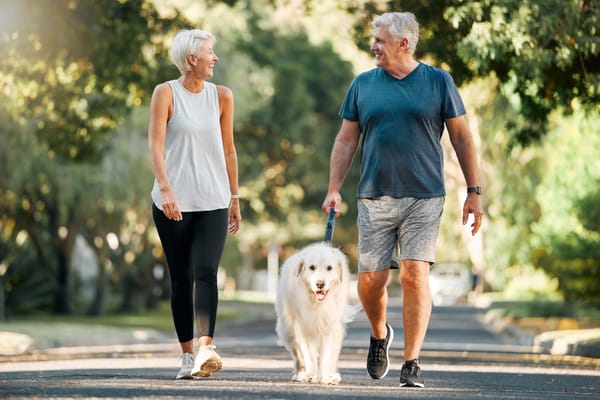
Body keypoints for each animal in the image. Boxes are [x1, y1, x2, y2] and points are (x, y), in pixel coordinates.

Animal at [276, 241, 356, 384]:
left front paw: (326, 377)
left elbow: (326, 355)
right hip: (287, 331)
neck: (317, 303)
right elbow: (308, 354)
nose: (320, 284)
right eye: (312, 267)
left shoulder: (329, 326)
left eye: (329, 268)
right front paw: (310, 375)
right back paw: (301, 373)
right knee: (298, 356)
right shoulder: (302, 327)